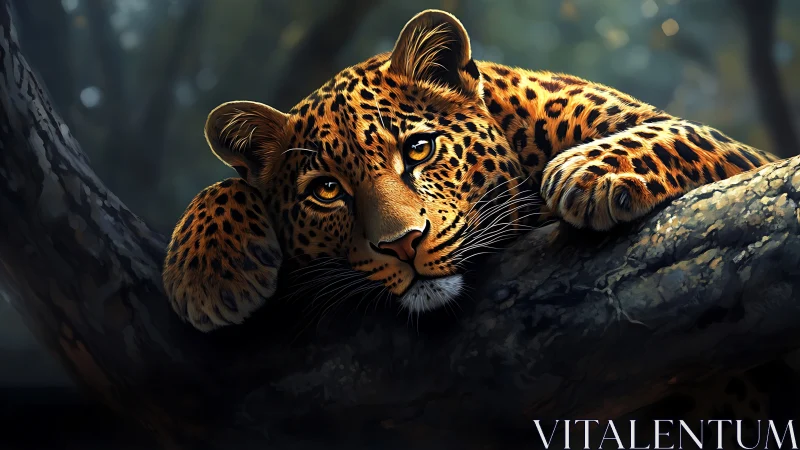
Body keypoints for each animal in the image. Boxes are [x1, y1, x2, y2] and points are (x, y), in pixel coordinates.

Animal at [162, 9, 784, 440]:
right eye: (327, 191)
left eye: (419, 149)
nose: (402, 244)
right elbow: (230, 184)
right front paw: (206, 270)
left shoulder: (750, 156)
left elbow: (679, 132)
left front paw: (590, 172)